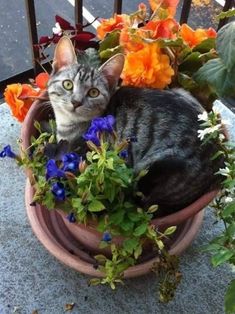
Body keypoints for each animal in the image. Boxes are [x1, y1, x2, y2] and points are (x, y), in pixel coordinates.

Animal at [47, 35, 224, 215]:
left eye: (93, 92)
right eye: (68, 84)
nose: (76, 102)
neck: (69, 126)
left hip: (155, 170)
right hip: (183, 93)